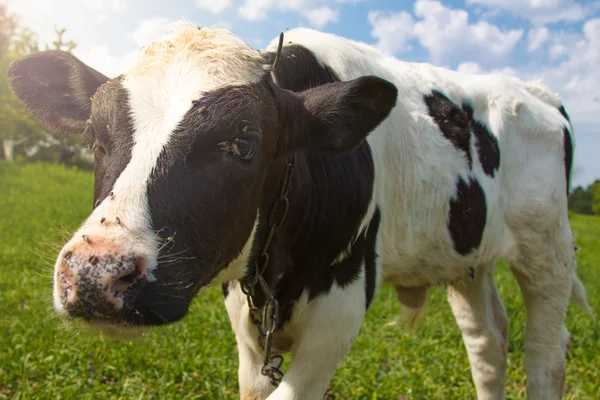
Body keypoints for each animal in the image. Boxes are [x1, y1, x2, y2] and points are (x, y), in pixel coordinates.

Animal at [9, 24, 592, 400]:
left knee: (545, 354)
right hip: (466, 258)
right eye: (94, 135)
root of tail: (533, 90)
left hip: (548, 250)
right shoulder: (245, 315)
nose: (96, 273)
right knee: (488, 344)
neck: (278, 271)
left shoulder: (342, 304)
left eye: (244, 144)